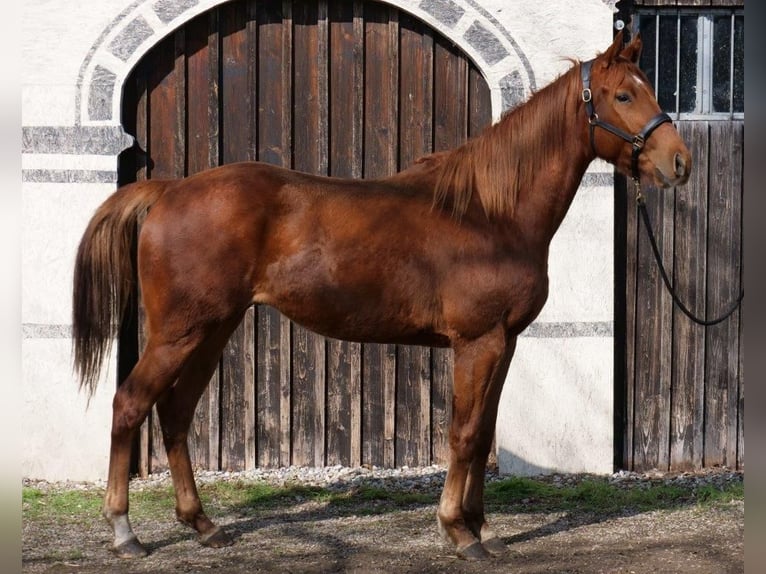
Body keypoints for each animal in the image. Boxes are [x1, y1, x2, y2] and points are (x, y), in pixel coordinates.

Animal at [72, 31, 692, 564]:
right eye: (623, 94)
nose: (679, 163)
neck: (489, 213)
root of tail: (169, 190)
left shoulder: (504, 343)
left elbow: (485, 432)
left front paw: (482, 528)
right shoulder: (478, 343)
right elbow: (465, 433)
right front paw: (458, 532)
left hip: (213, 330)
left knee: (175, 413)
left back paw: (203, 525)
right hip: (181, 332)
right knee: (130, 404)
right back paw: (125, 532)